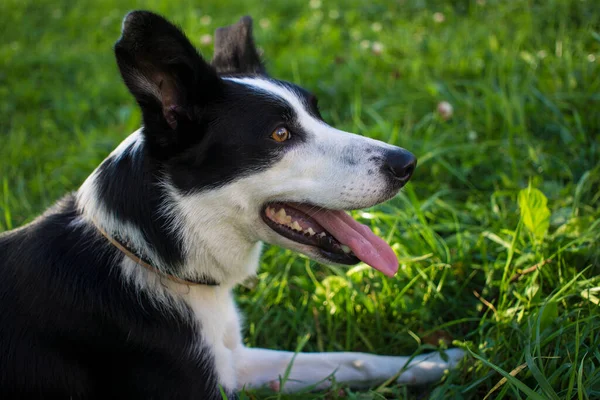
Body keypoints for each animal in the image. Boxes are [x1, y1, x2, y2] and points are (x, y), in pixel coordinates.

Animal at [0, 10, 464, 398]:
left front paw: (437, 361)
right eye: (280, 134)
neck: (150, 252)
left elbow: (352, 360)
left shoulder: (234, 362)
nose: (407, 164)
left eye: (318, 114)